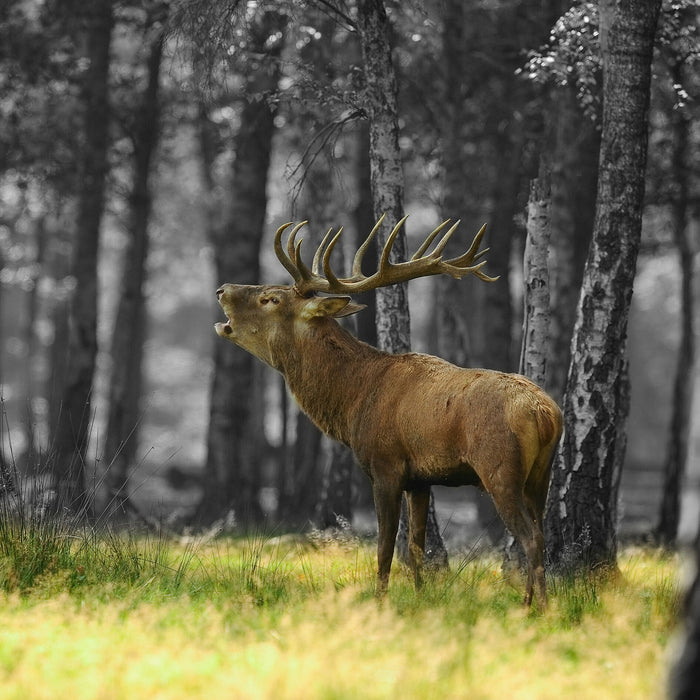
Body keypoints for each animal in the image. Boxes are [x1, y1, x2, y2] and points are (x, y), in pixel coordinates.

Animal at [213, 215, 564, 608]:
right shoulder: (422, 479)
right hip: (541, 475)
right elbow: (416, 548)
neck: (353, 401)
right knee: (540, 532)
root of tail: (545, 414)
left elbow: (384, 549)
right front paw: (420, 599)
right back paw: (532, 602)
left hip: (499, 468)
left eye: (270, 298)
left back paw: (536, 608)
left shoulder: (385, 465)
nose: (222, 289)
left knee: (530, 537)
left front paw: (380, 602)